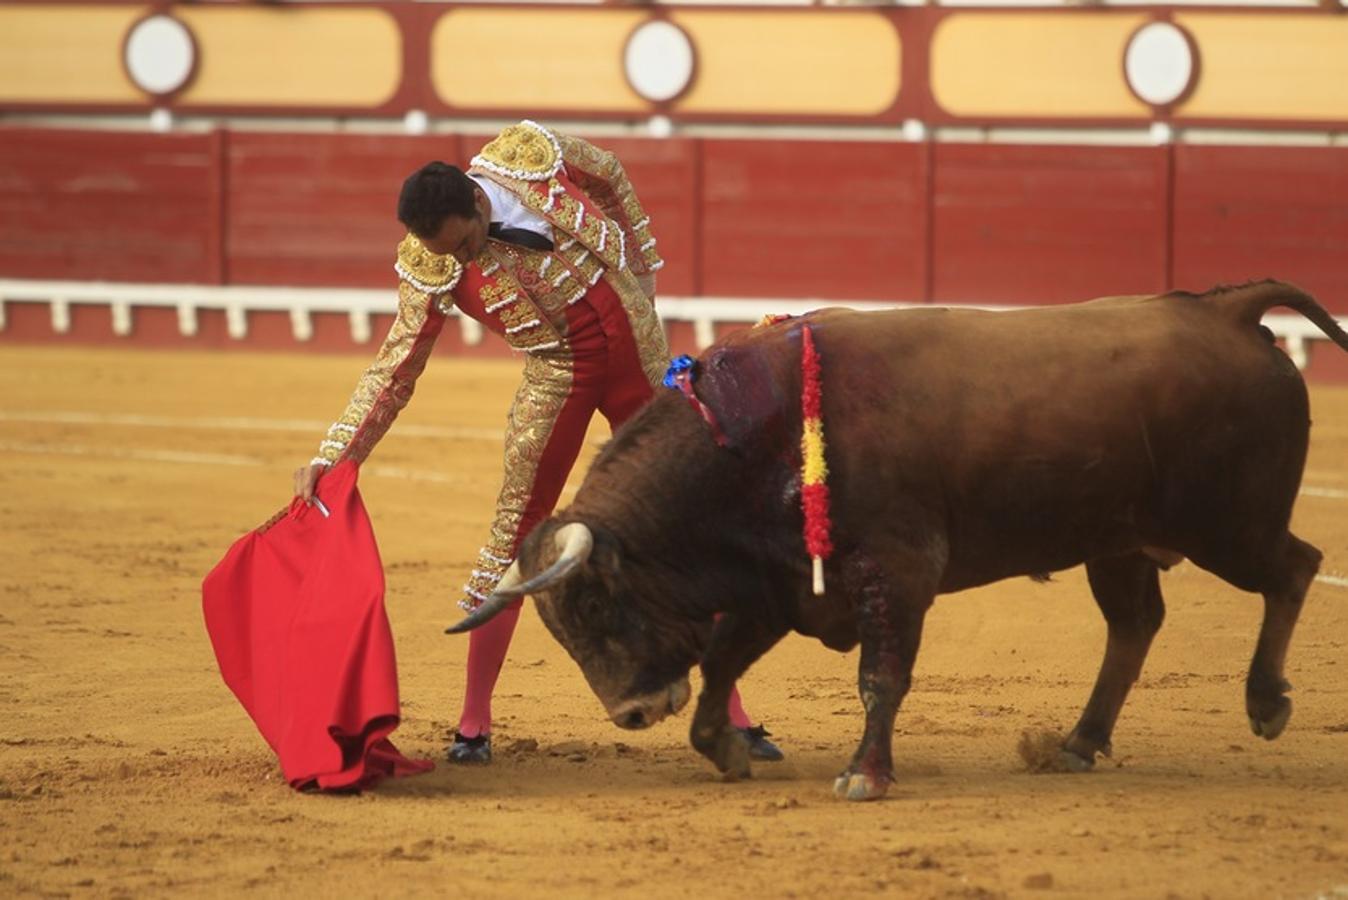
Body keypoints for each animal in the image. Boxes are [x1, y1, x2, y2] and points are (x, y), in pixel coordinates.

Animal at [447, 278, 1342, 802]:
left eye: (597, 604)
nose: (631, 713)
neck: (754, 437)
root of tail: (1226, 309)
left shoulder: (896, 572)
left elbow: (880, 677)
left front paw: (864, 776)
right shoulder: (779, 583)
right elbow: (722, 665)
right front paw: (726, 750)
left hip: (1227, 523)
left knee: (1296, 567)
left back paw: (1266, 704)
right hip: (1118, 542)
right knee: (1135, 624)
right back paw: (1079, 744)